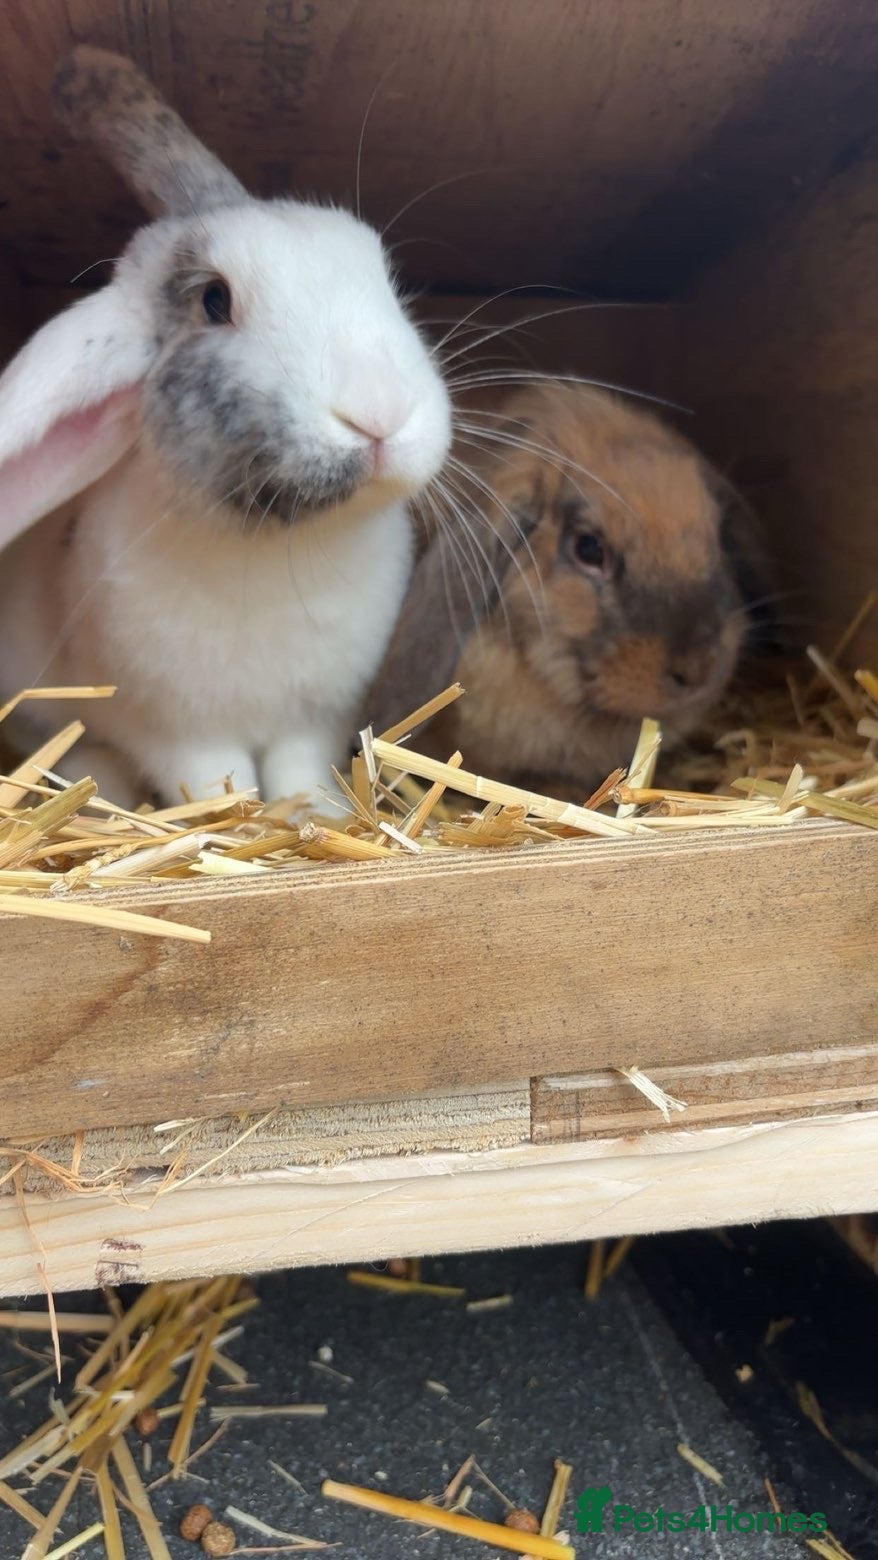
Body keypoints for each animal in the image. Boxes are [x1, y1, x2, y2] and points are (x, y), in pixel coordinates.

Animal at [0, 48, 451, 809]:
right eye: (214, 301)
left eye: (384, 279)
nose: (381, 410)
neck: (280, 553)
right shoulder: (174, 729)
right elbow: (215, 780)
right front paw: (239, 811)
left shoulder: (315, 718)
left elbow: (301, 770)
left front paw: (315, 812)